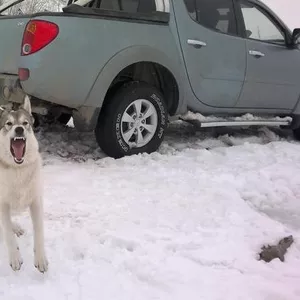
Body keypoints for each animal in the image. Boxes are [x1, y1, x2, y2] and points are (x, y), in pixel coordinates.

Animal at [0, 97, 47, 274]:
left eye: (25, 123)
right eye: (9, 123)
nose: (19, 129)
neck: (17, 169)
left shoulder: (36, 202)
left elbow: (39, 231)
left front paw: (40, 258)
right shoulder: (2, 204)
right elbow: (7, 233)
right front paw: (15, 258)